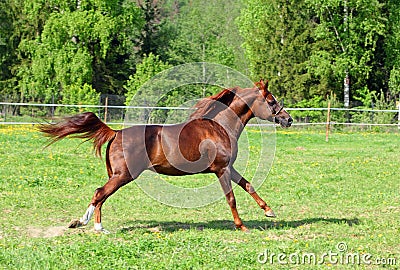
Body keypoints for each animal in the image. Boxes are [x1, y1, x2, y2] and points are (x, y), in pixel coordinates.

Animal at [39, 79, 292, 232]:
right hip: (123, 176)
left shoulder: (229, 167)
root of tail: (116, 132)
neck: (219, 127)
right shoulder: (221, 169)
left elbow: (248, 185)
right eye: (271, 101)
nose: (287, 119)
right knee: (99, 192)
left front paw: (269, 211)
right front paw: (242, 226)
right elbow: (231, 198)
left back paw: (92, 225)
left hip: (118, 176)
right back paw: (90, 225)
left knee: (101, 195)